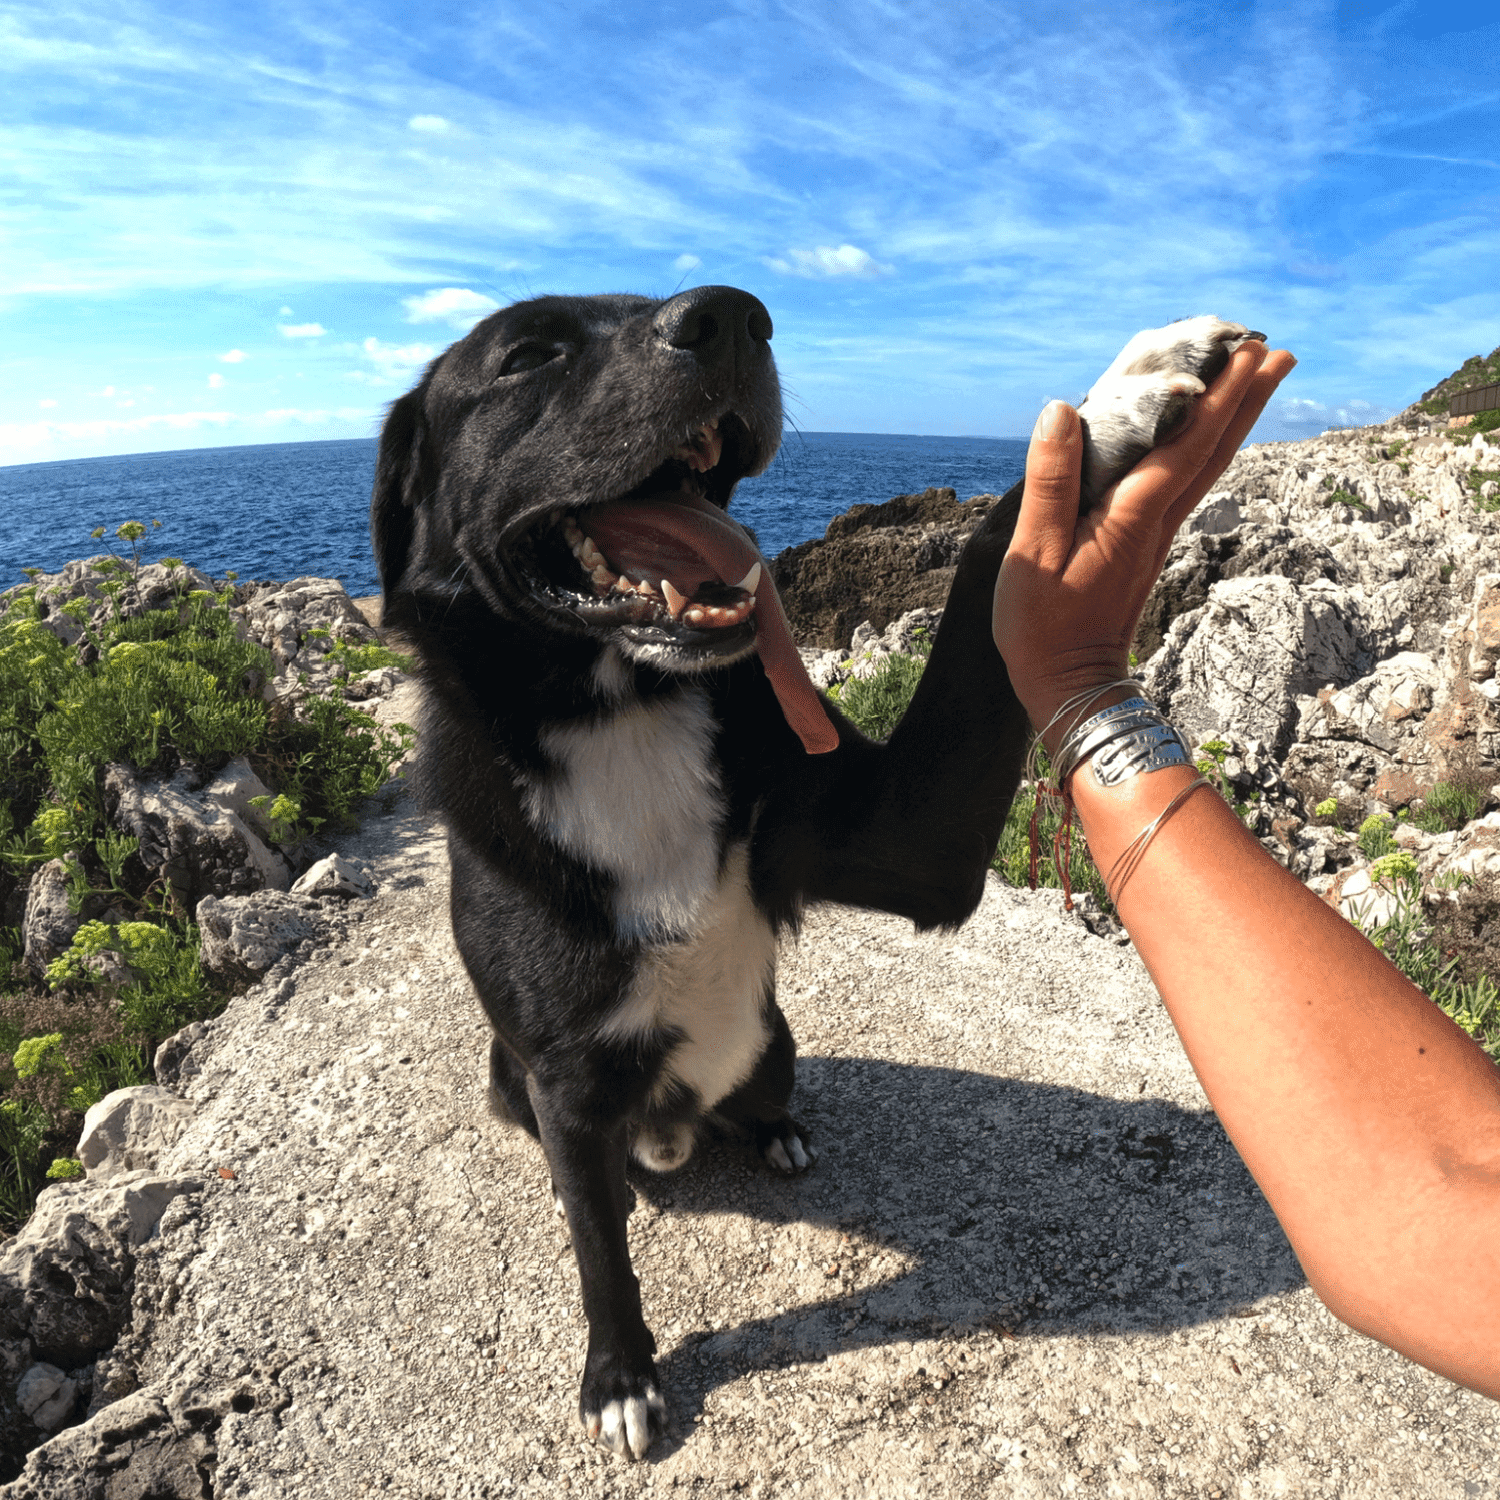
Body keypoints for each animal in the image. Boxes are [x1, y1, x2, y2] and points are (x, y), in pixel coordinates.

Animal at [369, 286, 1260, 1458]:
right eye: (525, 356)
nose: (733, 315)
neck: (625, 715)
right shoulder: (563, 1078)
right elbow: (598, 1248)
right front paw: (620, 1373)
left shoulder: (913, 839)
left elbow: (994, 564)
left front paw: (1119, 400)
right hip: (512, 1079)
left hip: (773, 1041)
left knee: (762, 1094)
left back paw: (779, 1133)